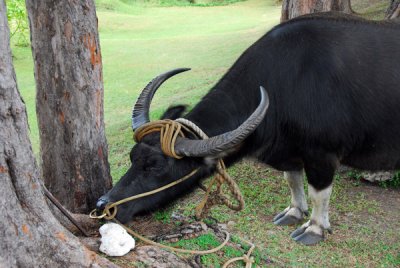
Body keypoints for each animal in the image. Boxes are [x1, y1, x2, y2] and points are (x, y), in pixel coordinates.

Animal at [97, 13, 400, 246]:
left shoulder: (322, 155)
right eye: (133, 157)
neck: (286, 85)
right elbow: (293, 181)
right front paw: (294, 212)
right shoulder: (291, 152)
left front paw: (315, 228)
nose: (105, 205)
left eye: (156, 166)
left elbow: (319, 194)